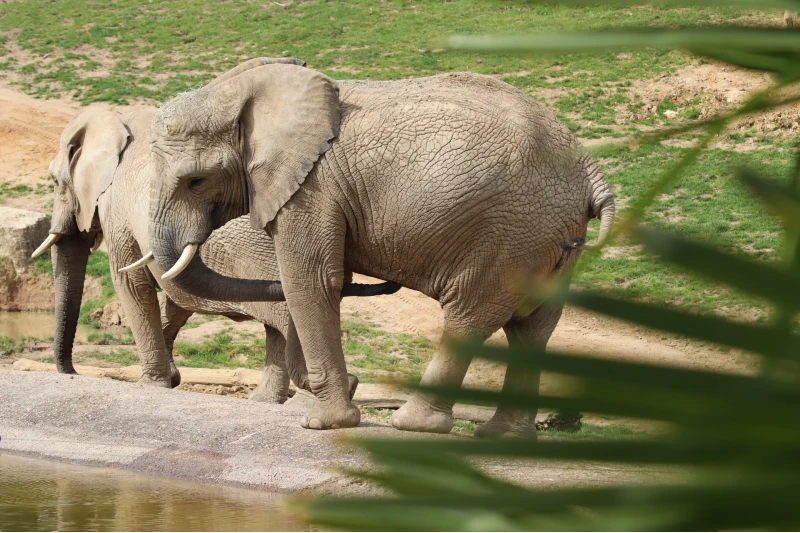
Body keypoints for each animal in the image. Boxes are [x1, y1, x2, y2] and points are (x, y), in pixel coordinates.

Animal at [32, 57, 398, 400]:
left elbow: (132, 285)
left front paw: (152, 384)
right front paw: (171, 378)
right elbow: (175, 300)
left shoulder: (117, 208)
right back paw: (274, 399)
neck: (115, 117)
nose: (72, 372)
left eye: (55, 182)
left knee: (284, 318)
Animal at [147, 63, 616, 436]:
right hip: (549, 236)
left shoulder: (312, 189)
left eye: (195, 181)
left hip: (512, 233)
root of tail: (590, 169)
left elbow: (312, 282)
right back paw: (502, 436)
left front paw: (322, 424)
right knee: (532, 326)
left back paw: (414, 424)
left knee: (469, 316)